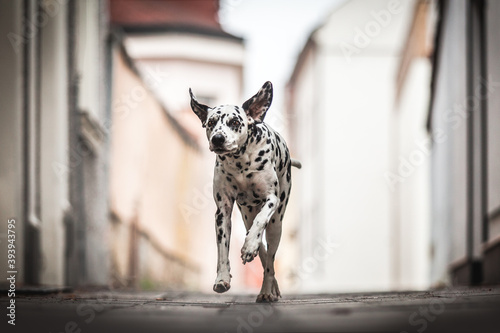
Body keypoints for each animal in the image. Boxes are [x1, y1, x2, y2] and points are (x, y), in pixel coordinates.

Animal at [189, 81, 300, 302]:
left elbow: (261, 222)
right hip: (246, 216)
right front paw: (222, 279)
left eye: (234, 122)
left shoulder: (271, 199)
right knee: (264, 254)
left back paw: (266, 290)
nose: (218, 138)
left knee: (269, 259)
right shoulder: (222, 212)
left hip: (276, 225)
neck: (240, 161)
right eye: (210, 123)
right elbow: (222, 250)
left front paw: (249, 246)